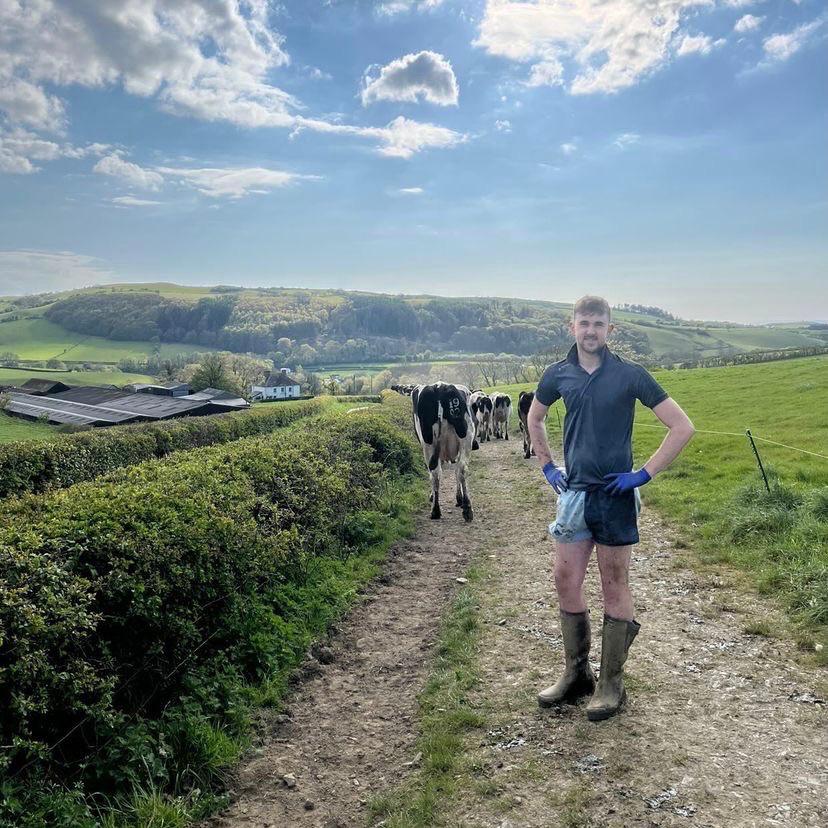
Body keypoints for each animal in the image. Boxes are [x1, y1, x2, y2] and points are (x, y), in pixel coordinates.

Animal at [410, 380, 476, 516]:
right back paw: (467, 508)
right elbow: (456, 471)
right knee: (461, 469)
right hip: (466, 441)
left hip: (428, 445)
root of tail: (440, 387)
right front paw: (459, 498)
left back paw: (436, 510)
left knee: (435, 473)